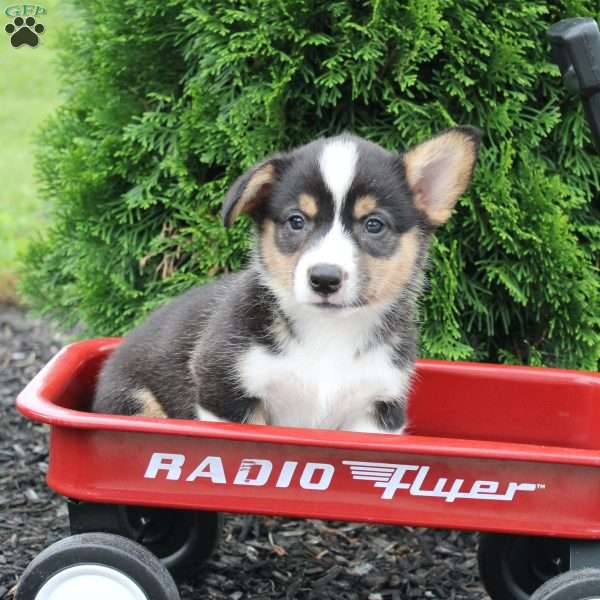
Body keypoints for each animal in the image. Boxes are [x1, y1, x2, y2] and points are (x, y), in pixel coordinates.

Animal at [92, 129, 478, 434]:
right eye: (296, 221)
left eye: (374, 224)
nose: (324, 278)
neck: (328, 333)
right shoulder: (224, 393)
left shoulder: (378, 411)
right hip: (135, 399)